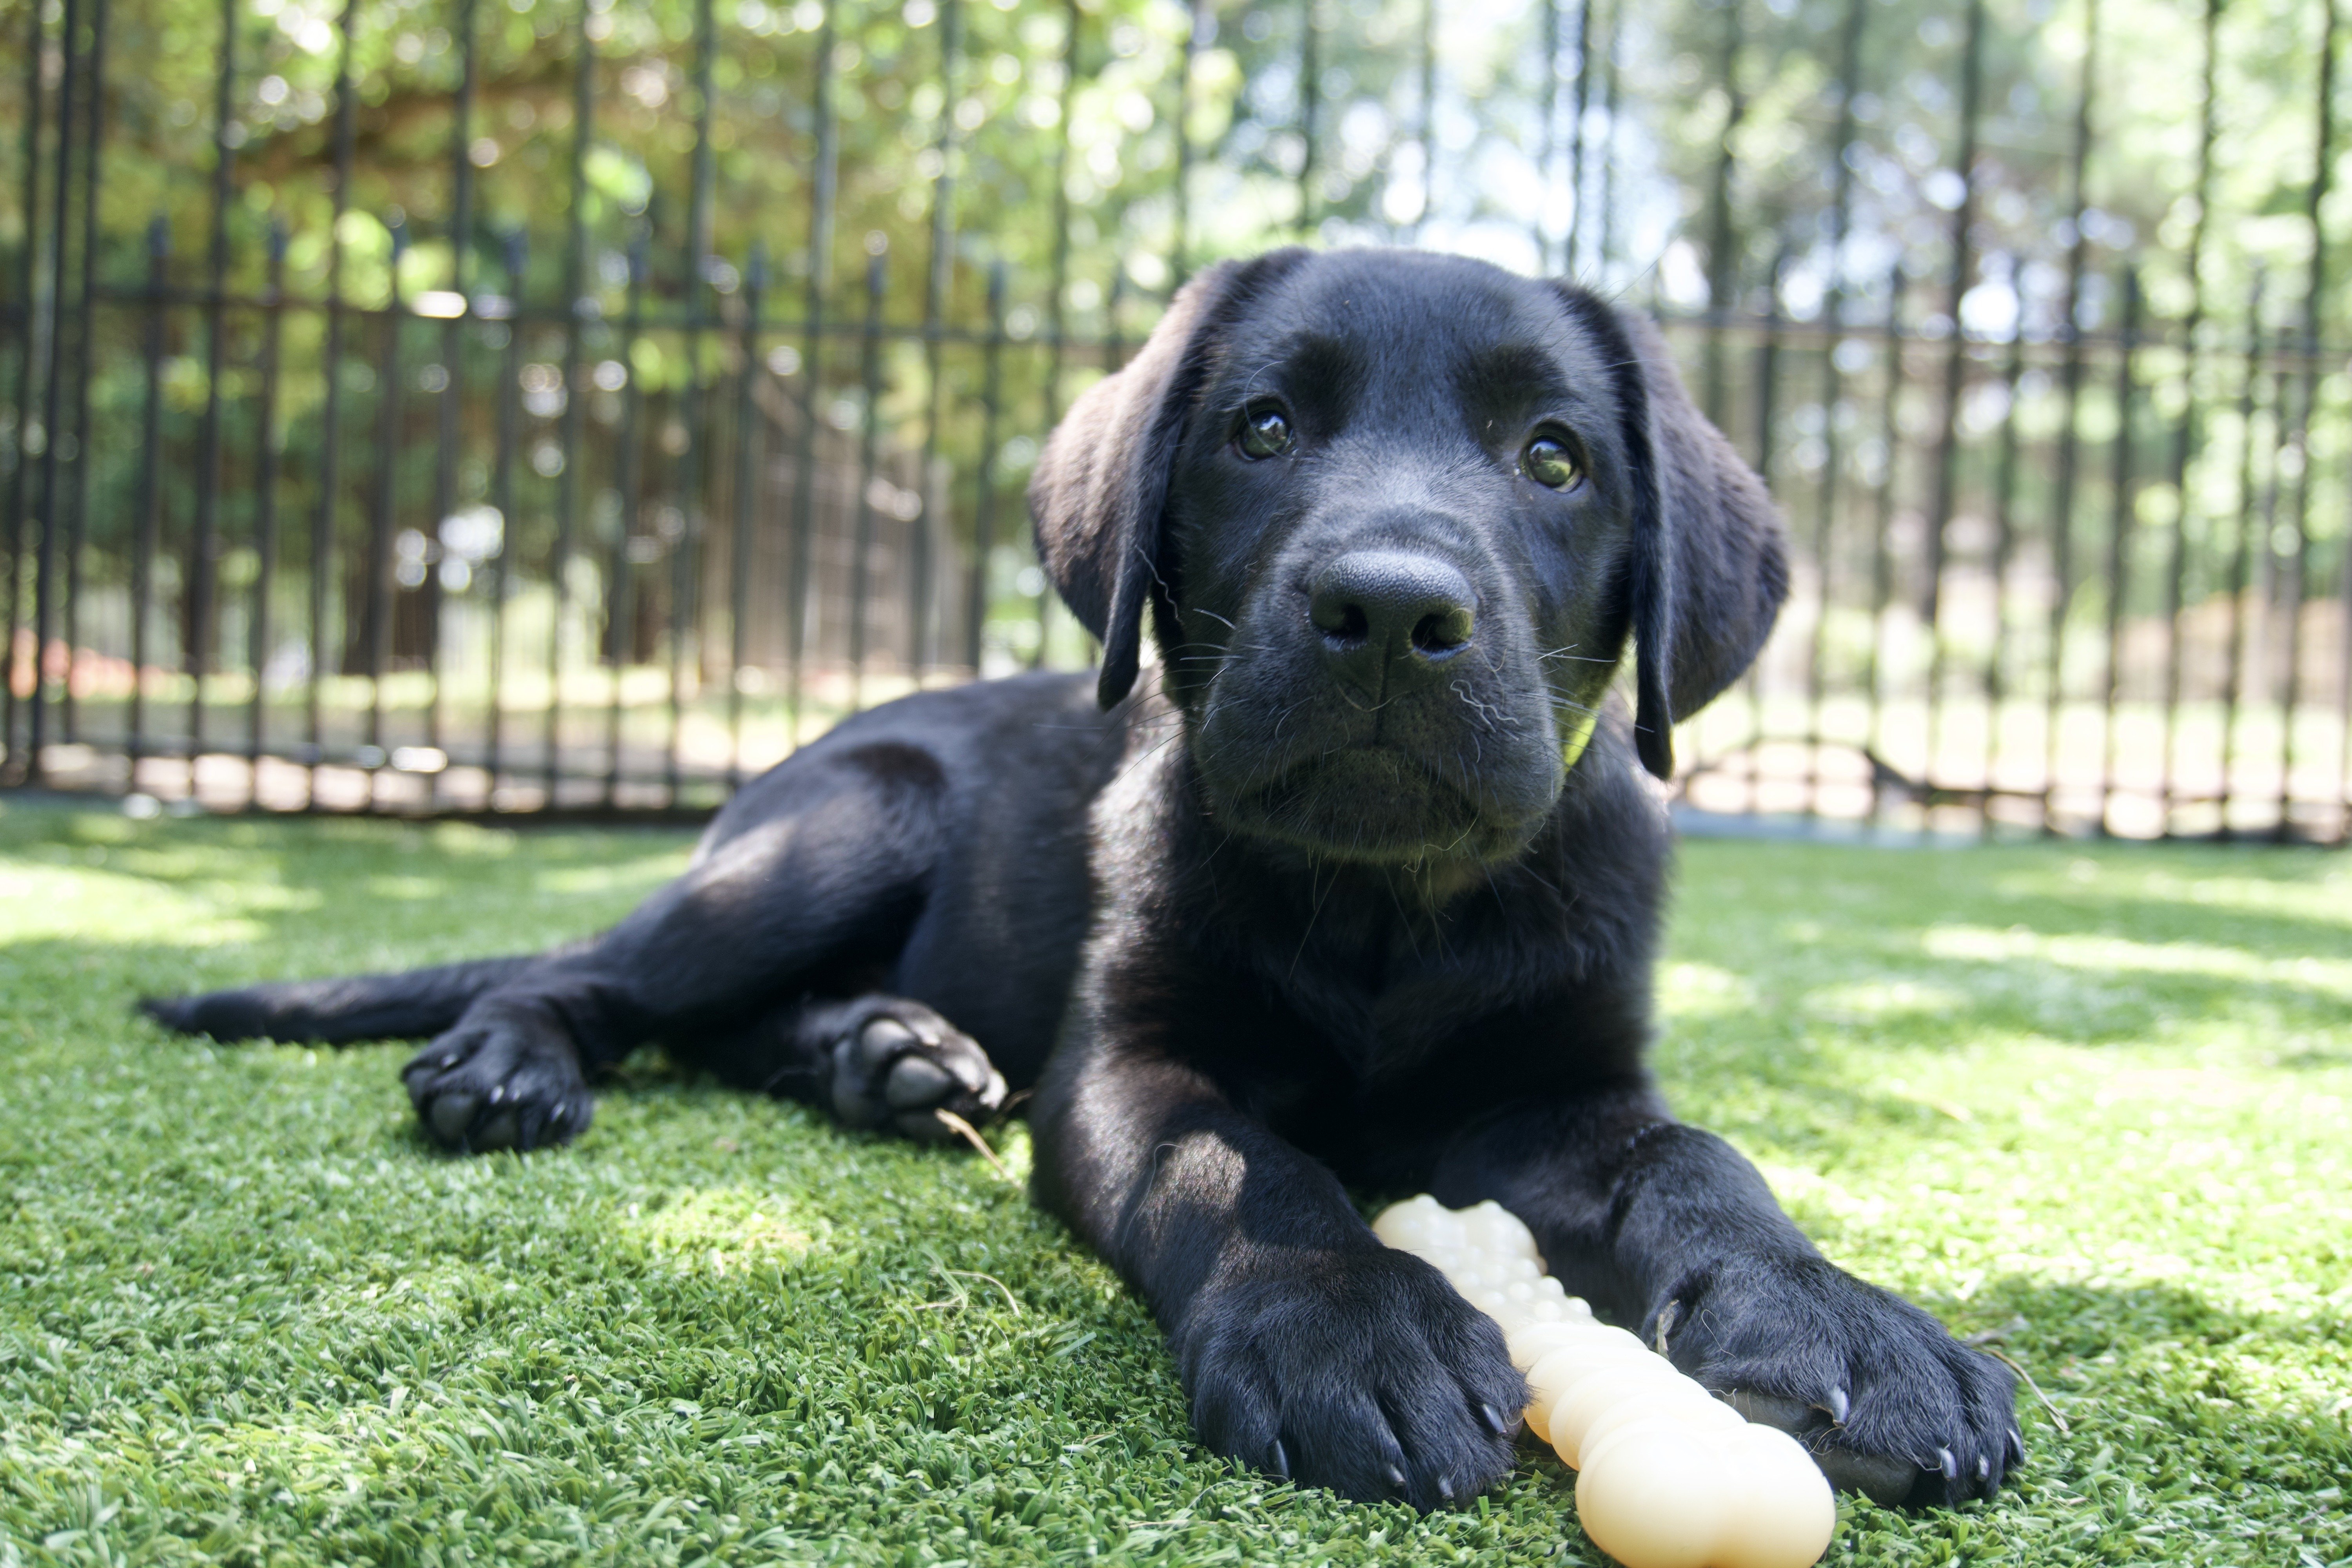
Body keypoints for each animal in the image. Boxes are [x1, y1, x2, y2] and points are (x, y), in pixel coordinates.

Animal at [147, 251, 2023, 1514]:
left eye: (1554, 458)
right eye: (1261, 427)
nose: (1387, 609)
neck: (1385, 903)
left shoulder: (1568, 1084)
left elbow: (1701, 1163)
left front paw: (1844, 1320)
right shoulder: (1129, 1055)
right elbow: (1235, 1168)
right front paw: (1354, 1325)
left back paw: (885, 1056)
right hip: (844, 824)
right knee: (606, 976)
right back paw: (520, 1061)